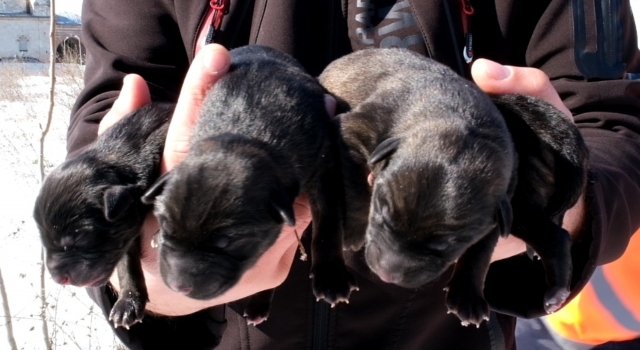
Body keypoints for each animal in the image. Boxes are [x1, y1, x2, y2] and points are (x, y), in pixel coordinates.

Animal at [142, 44, 358, 326]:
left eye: (226, 243)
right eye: (166, 226)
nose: (180, 287)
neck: (247, 134)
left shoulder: (324, 165)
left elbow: (328, 221)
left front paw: (331, 276)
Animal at [318, 47, 588, 326]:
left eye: (445, 244)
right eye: (380, 211)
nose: (387, 274)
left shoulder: (498, 209)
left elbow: (479, 253)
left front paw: (467, 296)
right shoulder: (351, 130)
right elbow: (355, 184)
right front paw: (353, 231)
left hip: (522, 206)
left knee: (555, 236)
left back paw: (556, 291)